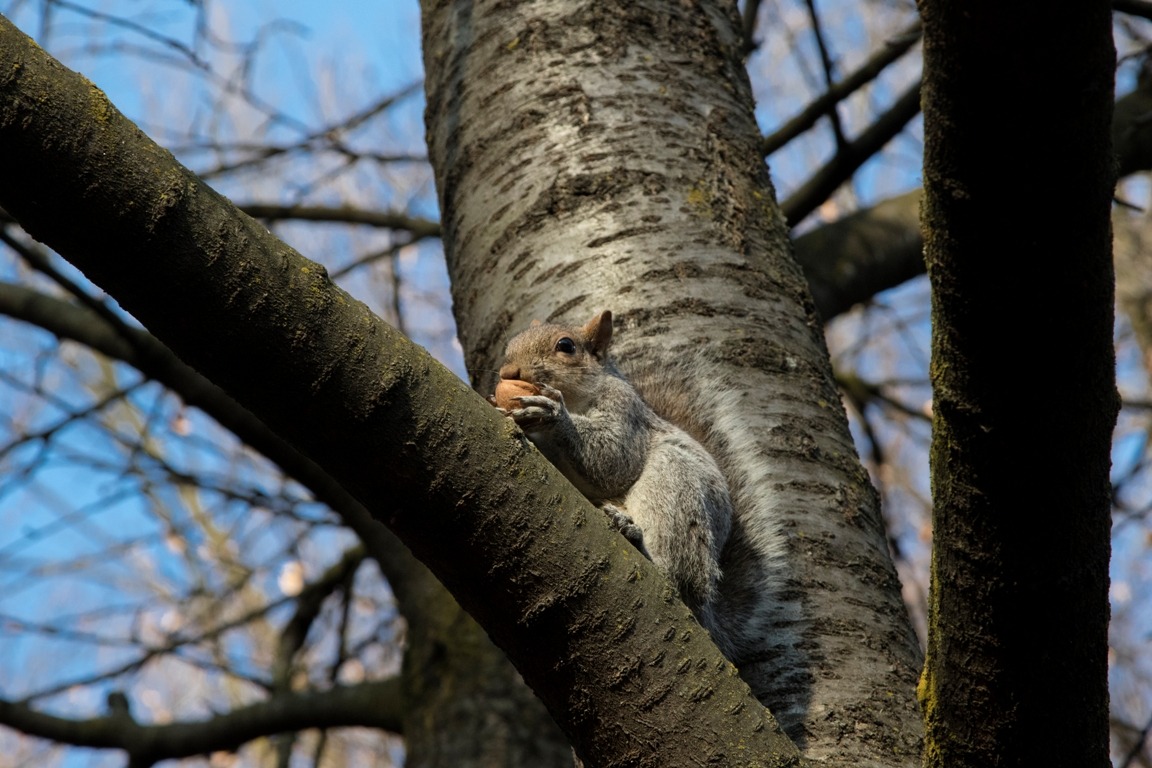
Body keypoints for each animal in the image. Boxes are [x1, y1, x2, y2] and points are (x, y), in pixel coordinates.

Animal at [492, 310, 735, 650]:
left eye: (566, 346)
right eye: (511, 344)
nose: (508, 371)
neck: (577, 399)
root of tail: (705, 611)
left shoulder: (625, 412)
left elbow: (613, 459)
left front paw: (553, 414)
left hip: (675, 487)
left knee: (676, 572)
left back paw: (637, 539)